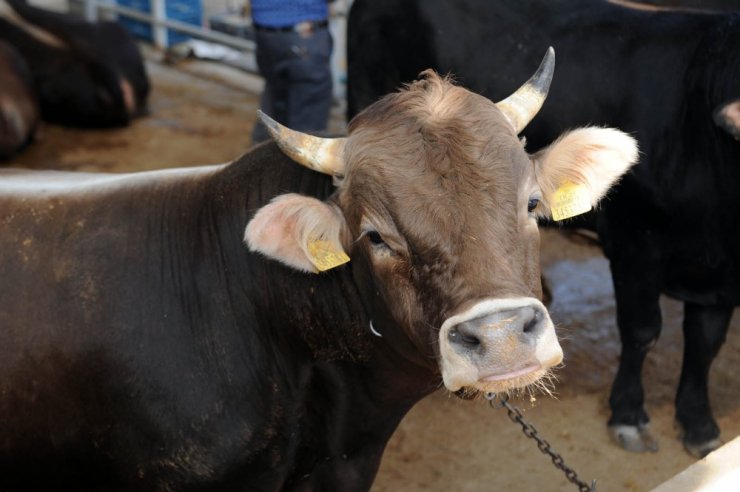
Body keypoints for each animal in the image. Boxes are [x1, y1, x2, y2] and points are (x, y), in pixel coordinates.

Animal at [350, 0, 740, 458]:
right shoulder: (634, 247)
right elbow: (642, 332)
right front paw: (628, 416)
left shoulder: (718, 275)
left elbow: (704, 343)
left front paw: (698, 423)